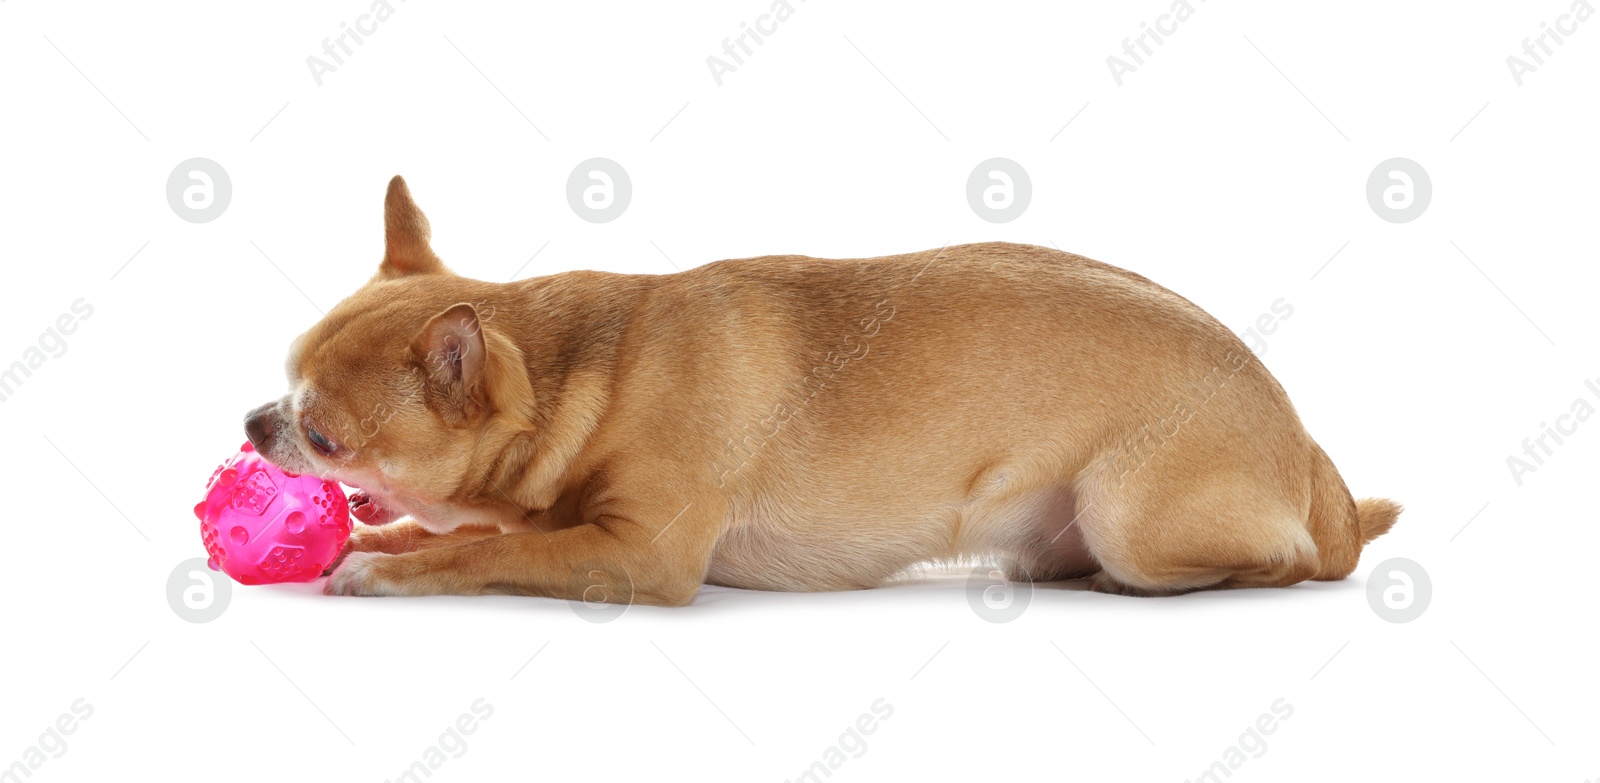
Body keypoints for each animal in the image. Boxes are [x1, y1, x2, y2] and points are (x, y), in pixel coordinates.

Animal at [240, 178, 1401, 605]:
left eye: (324, 435)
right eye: (280, 387)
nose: (254, 422)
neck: (593, 374)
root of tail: (1320, 472)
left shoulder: (640, 556)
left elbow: (492, 550)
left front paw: (394, 568)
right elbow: (472, 530)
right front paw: (385, 539)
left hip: (1135, 513)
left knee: (1289, 563)